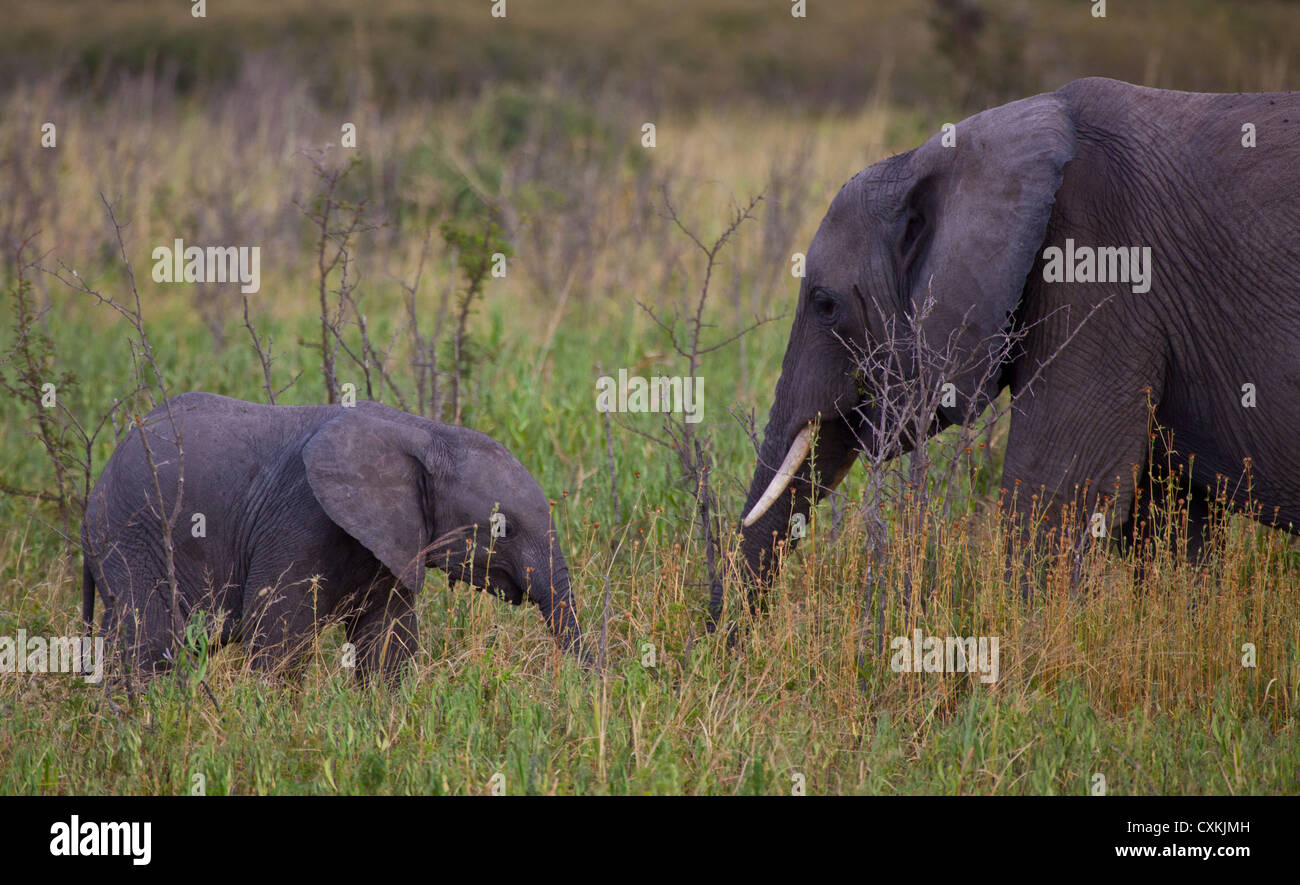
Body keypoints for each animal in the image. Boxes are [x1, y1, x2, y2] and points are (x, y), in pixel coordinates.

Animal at [81, 389, 585, 680]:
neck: (425, 434)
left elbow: (387, 643)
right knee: (151, 646)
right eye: (504, 529)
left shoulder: (390, 539)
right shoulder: (298, 520)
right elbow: (277, 639)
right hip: (131, 535)